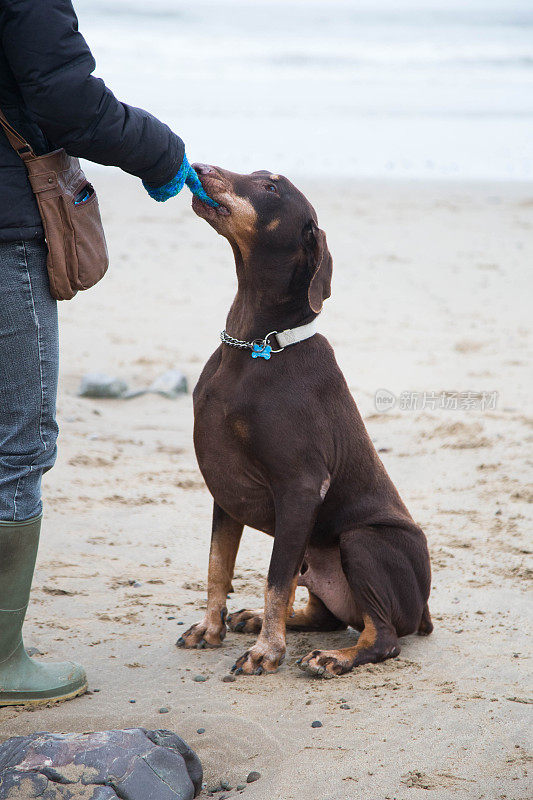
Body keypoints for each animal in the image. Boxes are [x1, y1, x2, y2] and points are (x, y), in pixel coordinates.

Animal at [179, 166, 432, 680]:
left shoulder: (300, 487)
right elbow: (217, 566)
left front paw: (266, 652)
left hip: (363, 541)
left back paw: (335, 657)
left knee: (384, 637)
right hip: (314, 558)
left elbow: (274, 581)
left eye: (271, 187)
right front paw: (211, 627)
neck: (257, 344)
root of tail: (425, 610)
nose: (203, 166)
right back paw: (259, 620)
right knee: (326, 614)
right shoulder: (225, 489)